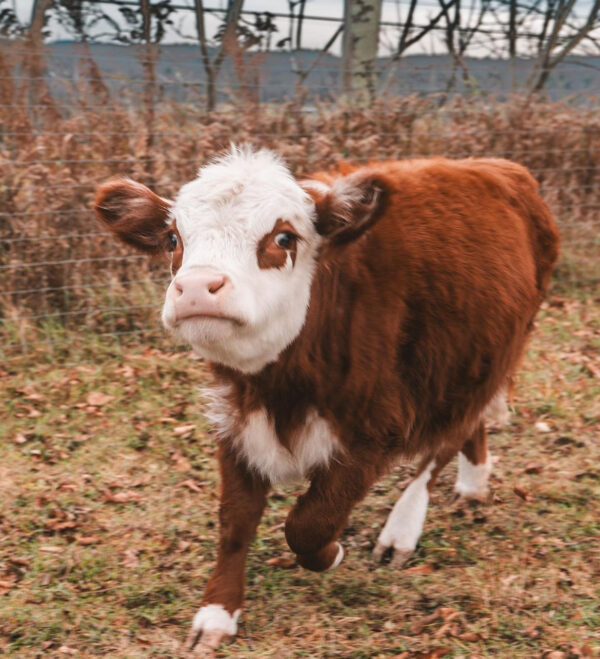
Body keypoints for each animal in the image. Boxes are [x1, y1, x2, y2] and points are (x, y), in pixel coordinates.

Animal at [94, 146, 559, 652]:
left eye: (283, 237)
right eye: (173, 238)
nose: (197, 287)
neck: (281, 390)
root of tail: (499, 166)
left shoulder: (376, 430)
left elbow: (309, 521)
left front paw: (331, 553)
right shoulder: (236, 419)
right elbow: (235, 521)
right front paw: (216, 614)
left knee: (441, 446)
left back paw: (402, 531)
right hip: (470, 360)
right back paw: (474, 482)